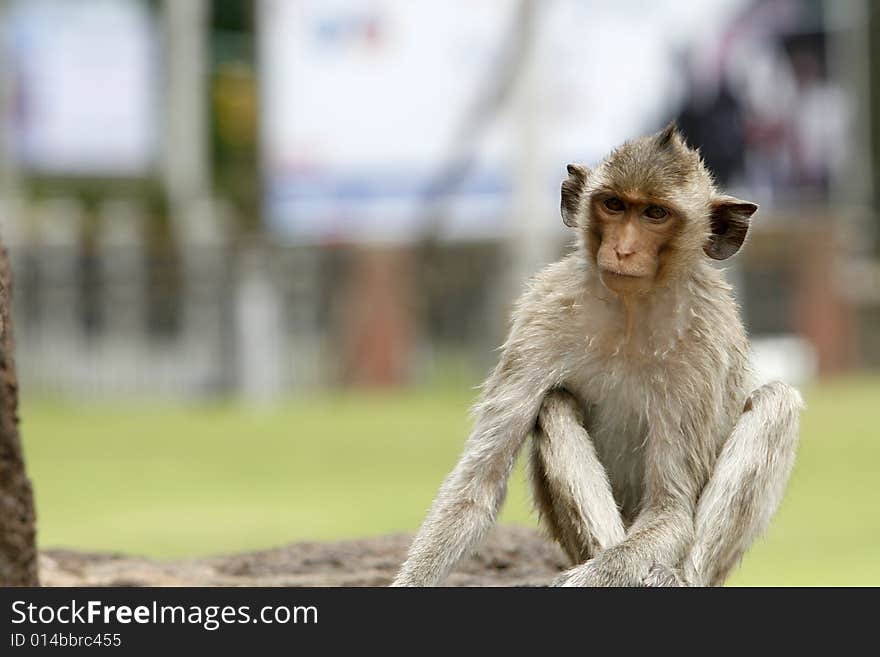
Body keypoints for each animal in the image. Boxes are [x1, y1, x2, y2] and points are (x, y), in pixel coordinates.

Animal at [392, 121, 804, 584]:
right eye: (614, 205)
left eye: (655, 214)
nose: (623, 249)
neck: (631, 309)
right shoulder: (541, 315)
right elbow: (475, 489)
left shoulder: (704, 347)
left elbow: (672, 509)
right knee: (554, 404)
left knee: (778, 402)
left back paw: (677, 576)